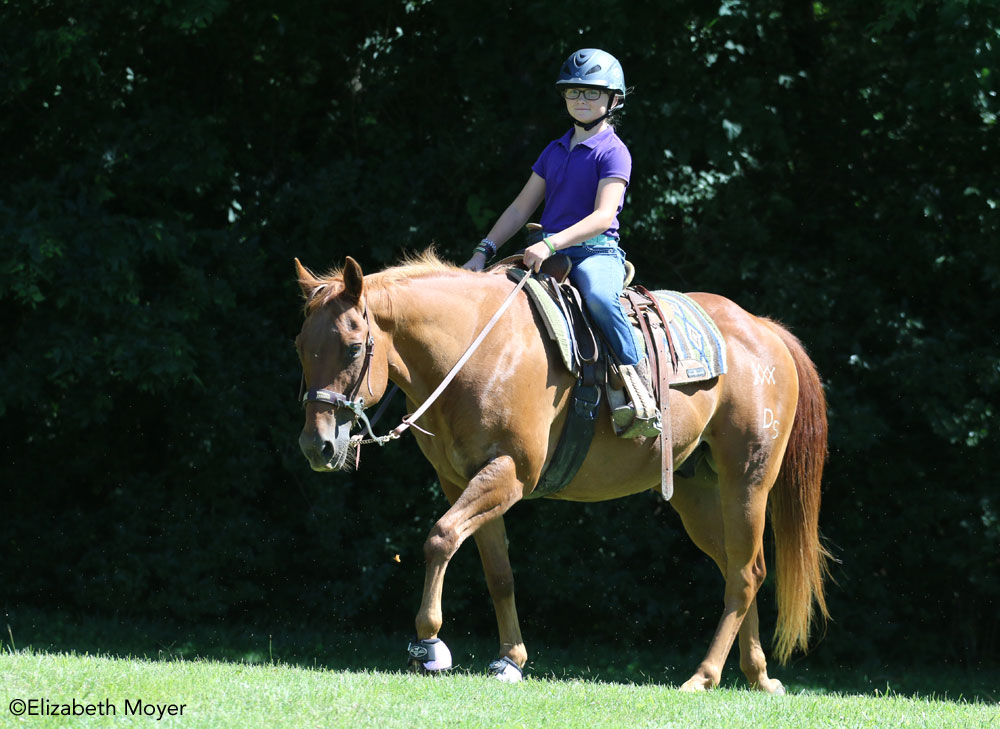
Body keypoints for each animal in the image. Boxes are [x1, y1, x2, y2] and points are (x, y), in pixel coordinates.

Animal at [292, 252, 832, 692]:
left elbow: (441, 538)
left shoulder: (510, 473)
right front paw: (511, 659)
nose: (318, 445)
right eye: (301, 346)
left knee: (744, 574)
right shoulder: (464, 480)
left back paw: (704, 675)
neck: (476, 349)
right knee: (742, 568)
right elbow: (499, 572)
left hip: (748, 480)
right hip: (697, 493)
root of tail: (763, 329)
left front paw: (429, 644)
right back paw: (756, 674)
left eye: (353, 347)